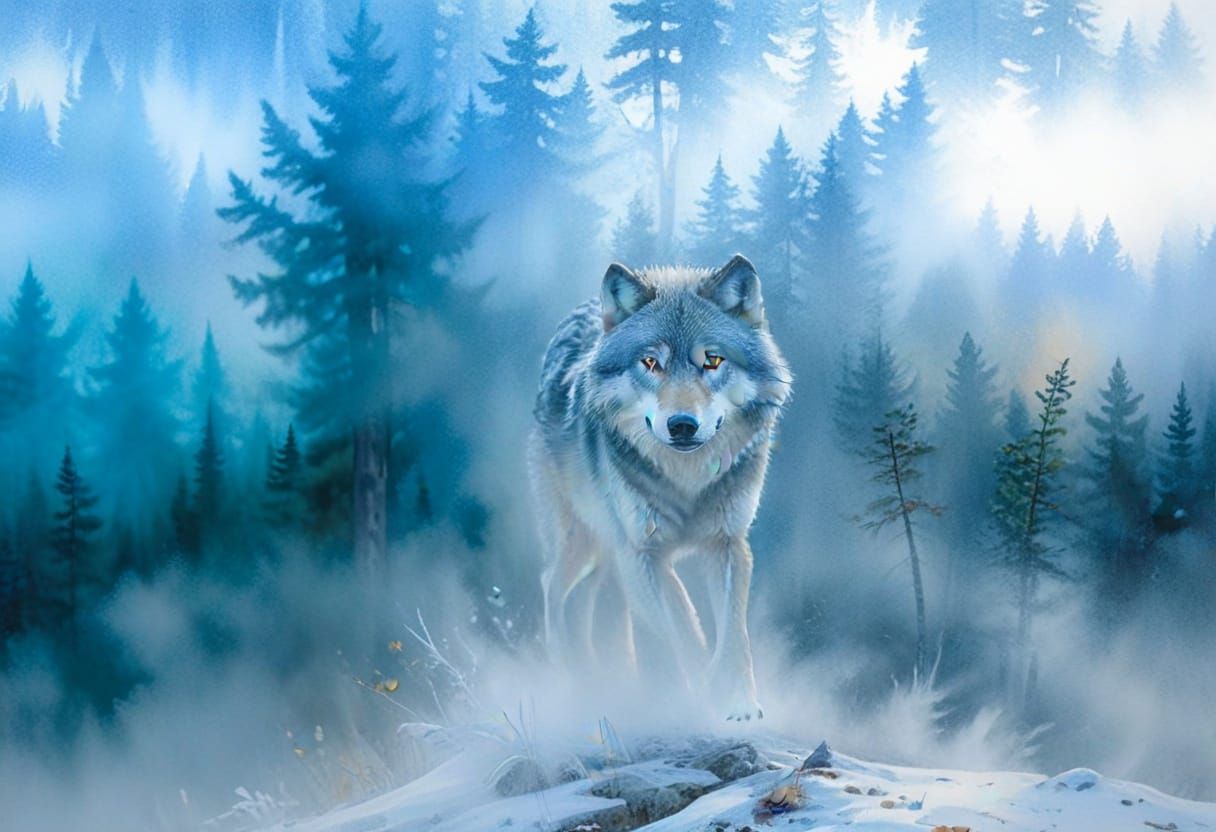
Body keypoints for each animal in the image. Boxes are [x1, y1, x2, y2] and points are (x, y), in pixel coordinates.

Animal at [528, 254, 791, 720]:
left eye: (712, 361)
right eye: (651, 363)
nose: (682, 425)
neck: (686, 480)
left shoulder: (728, 544)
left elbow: (734, 633)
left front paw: (739, 702)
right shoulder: (644, 553)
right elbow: (683, 626)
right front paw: (701, 690)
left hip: (605, 555)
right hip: (580, 541)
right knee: (552, 586)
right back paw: (570, 675)